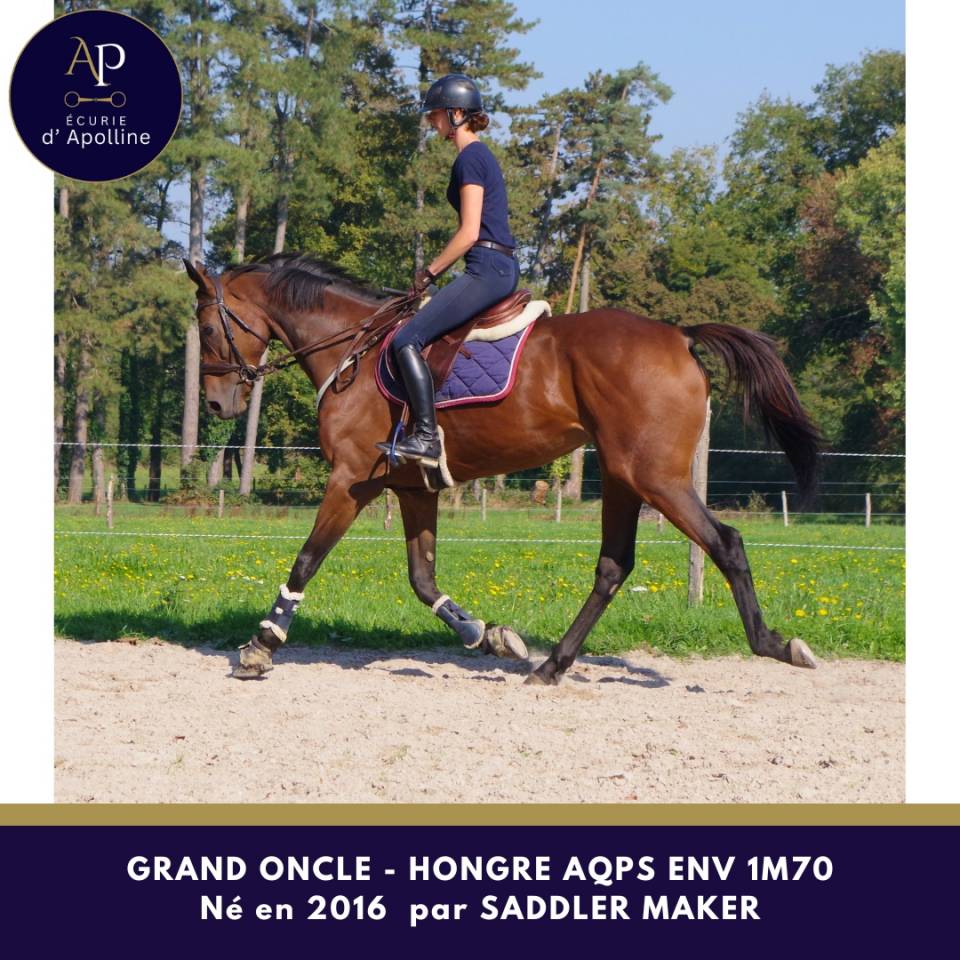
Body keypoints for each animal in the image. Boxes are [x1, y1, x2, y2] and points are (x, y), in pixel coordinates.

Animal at [183, 252, 821, 684]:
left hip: (655, 478)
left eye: (209, 329)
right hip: (623, 477)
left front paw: (261, 645)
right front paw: (487, 636)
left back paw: (774, 644)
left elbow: (307, 560)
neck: (353, 351)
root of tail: (680, 336)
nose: (216, 405)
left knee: (726, 543)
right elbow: (422, 579)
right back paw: (551, 665)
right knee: (613, 567)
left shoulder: (351, 481)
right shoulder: (413, 489)